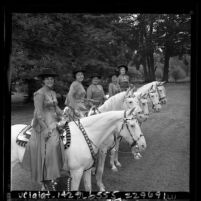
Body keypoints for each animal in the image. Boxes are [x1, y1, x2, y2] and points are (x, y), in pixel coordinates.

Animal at [11, 106, 146, 191]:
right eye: (132, 125)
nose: (143, 145)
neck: (85, 136)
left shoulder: (87, 169)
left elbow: (88, 188)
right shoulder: (76, 172)